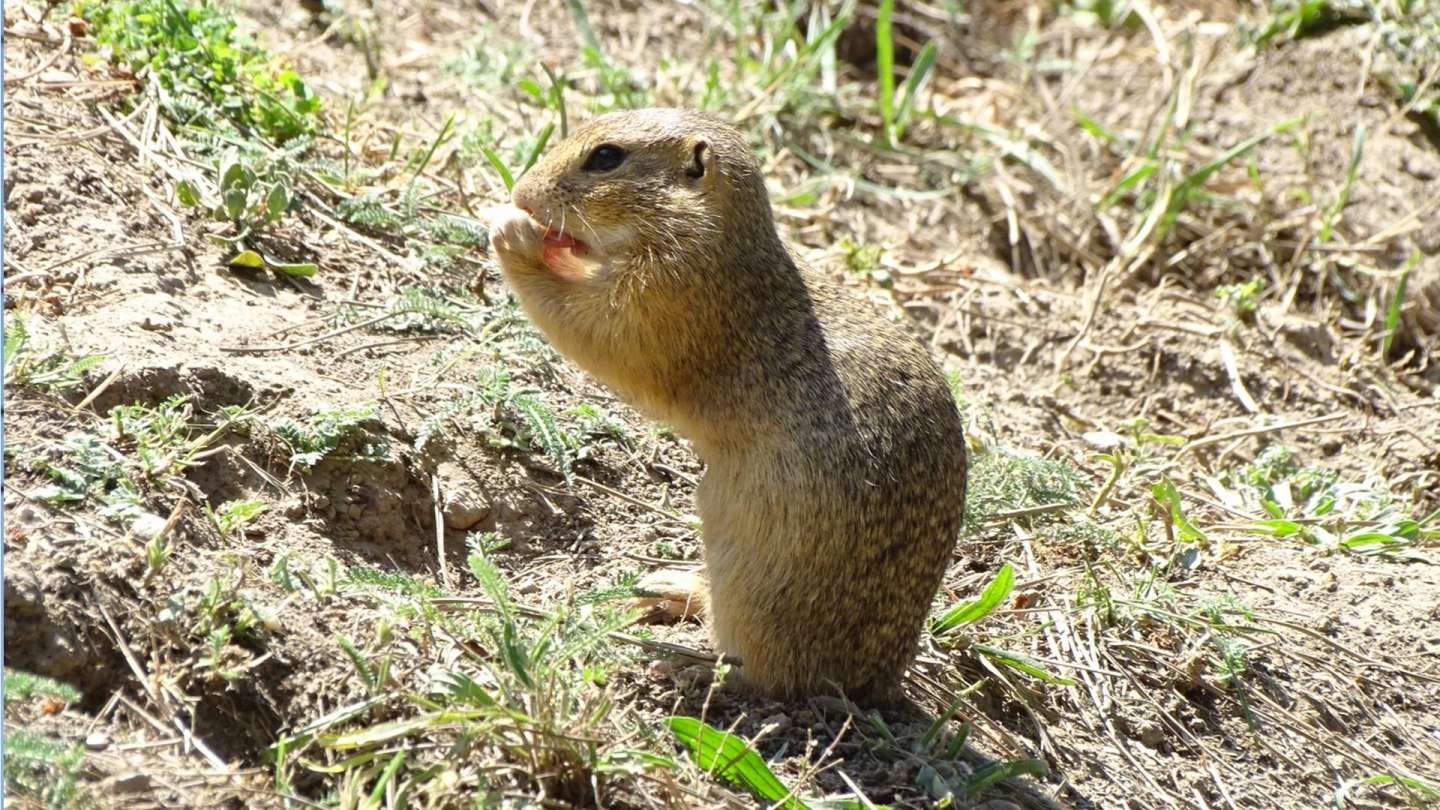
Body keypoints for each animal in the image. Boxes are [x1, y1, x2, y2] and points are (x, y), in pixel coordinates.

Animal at [483, 107, 967, 700]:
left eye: (606, 157)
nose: (522, 192)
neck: (717, 240)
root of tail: (878, 681)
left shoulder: (662, 301)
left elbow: (594, 330)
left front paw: (513, 233)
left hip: (754, 588)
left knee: (765, 675)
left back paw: (684, 668)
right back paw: (668, 587)